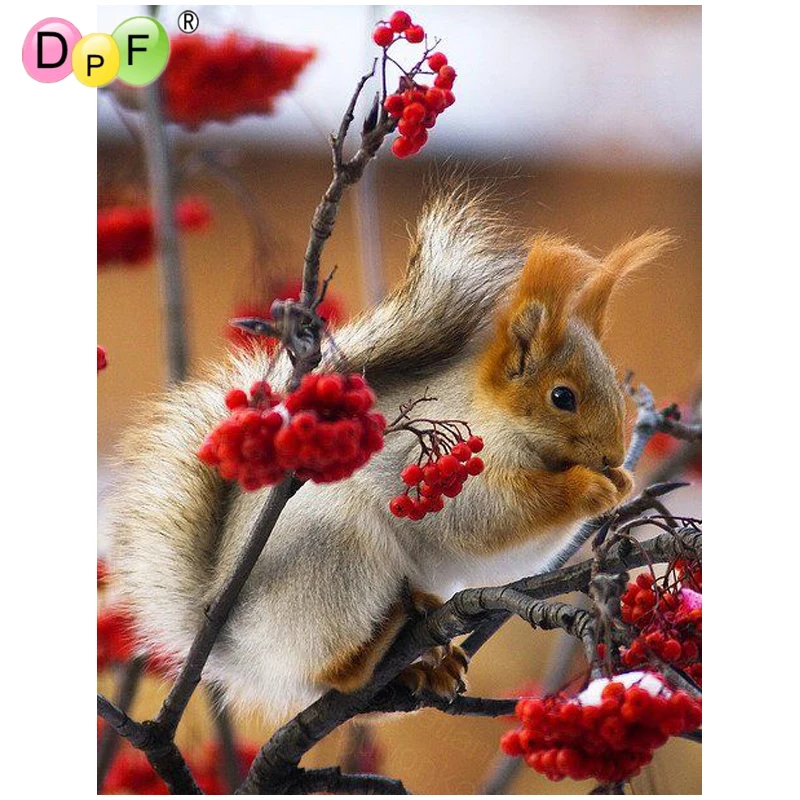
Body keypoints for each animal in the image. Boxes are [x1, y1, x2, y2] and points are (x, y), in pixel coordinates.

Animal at [106, 184, 672, 722]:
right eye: (562, 397)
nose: (611, 454)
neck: (497, 418)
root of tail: (237, 647)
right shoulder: (433, 471)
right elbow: (488, 518)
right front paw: (588, 487)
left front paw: (621, 482)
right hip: (334, 555)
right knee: (335, 671)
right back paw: (385, 636)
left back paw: (427, 661)